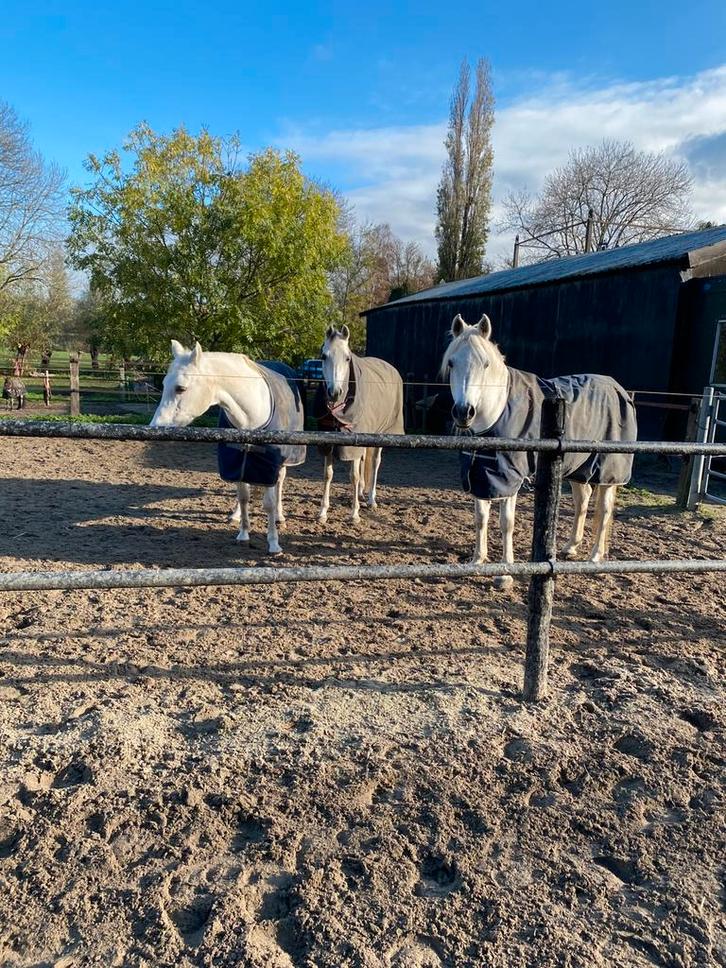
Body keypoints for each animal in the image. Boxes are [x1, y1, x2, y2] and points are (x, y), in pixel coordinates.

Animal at [150, 340, 305, 555]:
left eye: (180, 388)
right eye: (164, 384)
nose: (154, 428)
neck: (252, 416)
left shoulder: (269, 468)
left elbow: (269, 504)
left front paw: (274, 543)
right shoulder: (237, 462)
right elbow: (243, 496)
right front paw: (243, 534)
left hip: (283, 461)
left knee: (280, 482)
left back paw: (279, 516)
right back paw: (235, 514)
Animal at [315, 324, 404, 523]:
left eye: (347, 358)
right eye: (323, 356)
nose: (335, 392)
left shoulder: (353, 445)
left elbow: (354, 476)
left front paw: (354, 514)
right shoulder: (328, 443)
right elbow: (327, 475)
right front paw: (323, 512)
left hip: (380, 435)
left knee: (375, 462)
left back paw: (371, 500)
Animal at [442, 313, 637, 588]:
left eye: (486, 364)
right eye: (451, 363)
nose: (463, 412)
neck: (497, 413)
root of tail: (619, 389)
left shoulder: (509, 479)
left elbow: (506, 523)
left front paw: (504, 574)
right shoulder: (482, 475)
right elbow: (480, 517)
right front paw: (476, 561)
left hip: (609, 471)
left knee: (605, 509)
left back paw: (595, 557)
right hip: (579, 467)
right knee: (583, 499)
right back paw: (570, 547)